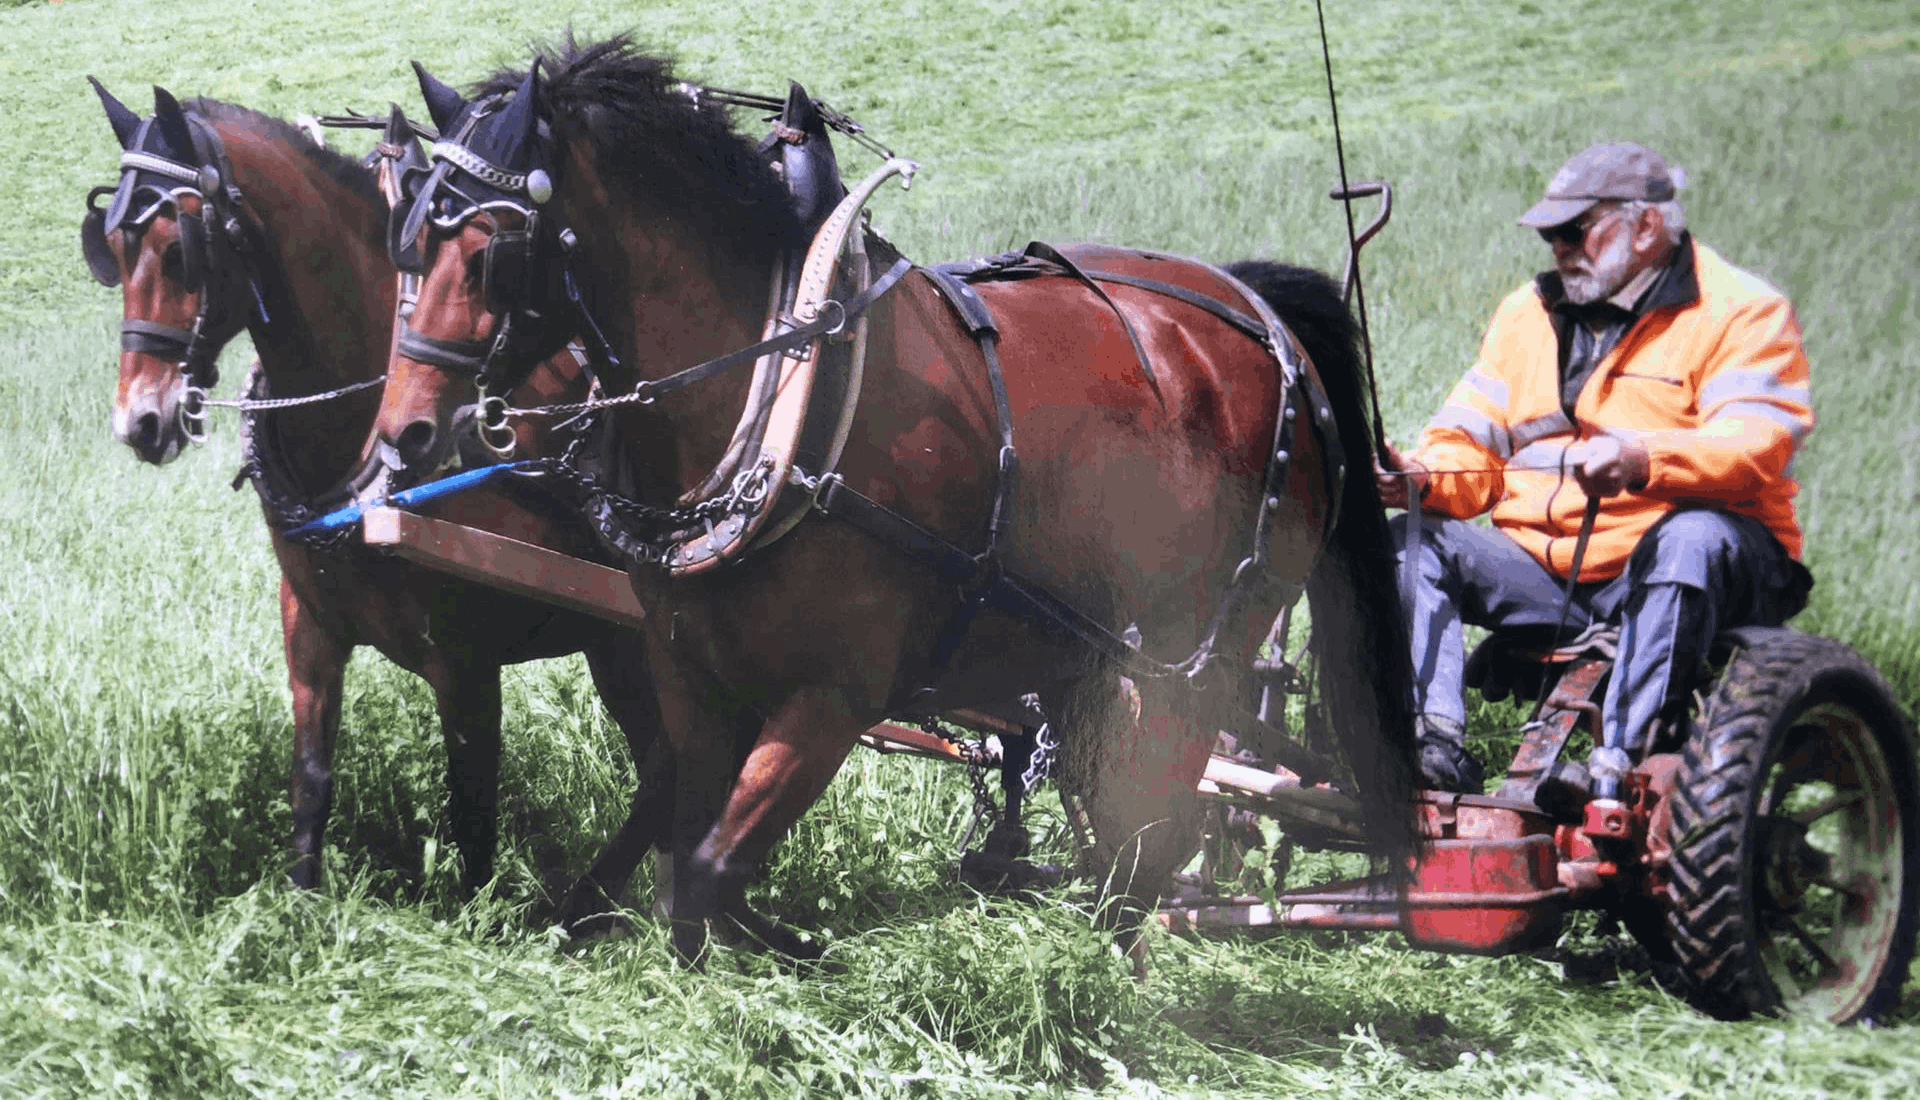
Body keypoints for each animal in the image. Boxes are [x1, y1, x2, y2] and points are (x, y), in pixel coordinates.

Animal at [81, 79, 670, 917]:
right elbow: (311, 780)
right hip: (615, 642)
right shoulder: (311, 624)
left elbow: (472, 808)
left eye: (177, 250)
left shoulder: (467, 661)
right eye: (112, 246)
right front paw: (299, 908)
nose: (140, 420)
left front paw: (473, 924)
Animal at [372, 35, 1417, 960]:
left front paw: (796, 949)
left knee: (1158, 834)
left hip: (1204, 654)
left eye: (493, 252)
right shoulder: (692, 675)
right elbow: (688, 873)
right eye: (408, 241)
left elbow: (710, 872)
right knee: (1120, 826)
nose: (406, 433)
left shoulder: (835, 697)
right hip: (1094, 653)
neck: (782, 387)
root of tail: (1261, 314)